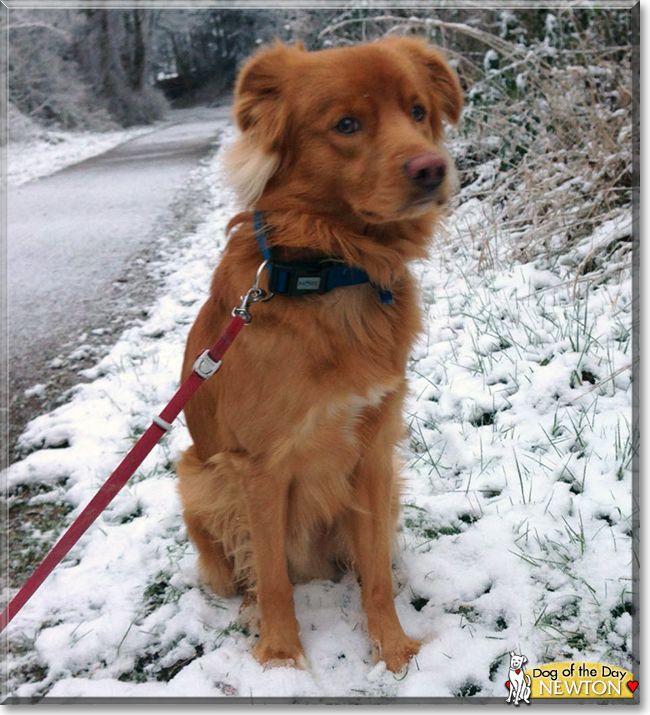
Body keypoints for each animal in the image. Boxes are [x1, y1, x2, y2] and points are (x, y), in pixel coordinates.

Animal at [176, 36, 460, 676]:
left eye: (418, 111)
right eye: (346, 125)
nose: (431, 167)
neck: (333, 271)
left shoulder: (374, 451)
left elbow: (375, 571)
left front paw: (394, 651)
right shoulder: (259, 467)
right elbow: (273, 577)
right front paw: (281, 658)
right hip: (200, 477)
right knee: (250, 572)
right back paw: (250, 611)